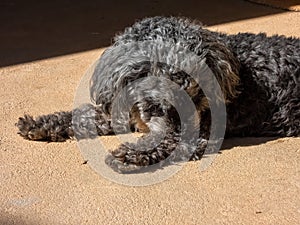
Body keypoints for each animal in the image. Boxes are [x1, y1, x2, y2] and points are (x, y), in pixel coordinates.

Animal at [17, 16, 300, 173]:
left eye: (196, 96)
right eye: (156, 102)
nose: (183, 129)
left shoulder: (195, 136)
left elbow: (164, 143)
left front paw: (129, 156)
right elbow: (82, 116)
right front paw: (40, 123)